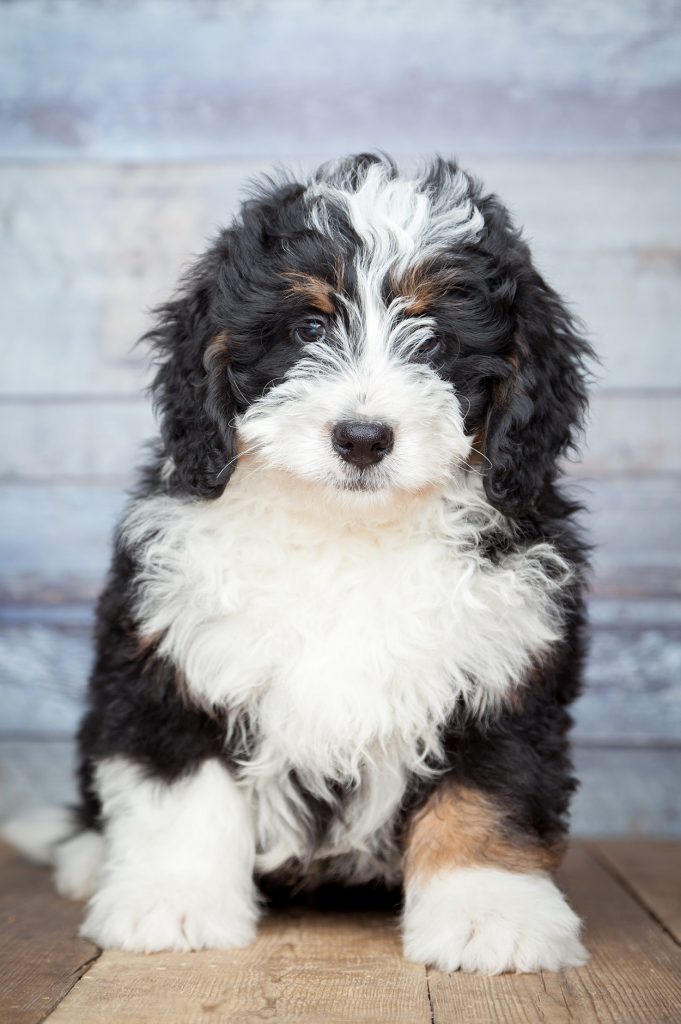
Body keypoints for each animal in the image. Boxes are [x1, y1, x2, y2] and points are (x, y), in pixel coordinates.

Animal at [3, 153, 589, 974]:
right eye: (310, 326)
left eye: (436, 340)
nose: (363, 438)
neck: (347, 530)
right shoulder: (171, 657)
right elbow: (178, 788)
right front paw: (173, 903)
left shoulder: (507, 664)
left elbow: (491, 792)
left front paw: (490, 914)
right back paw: (91, 859)